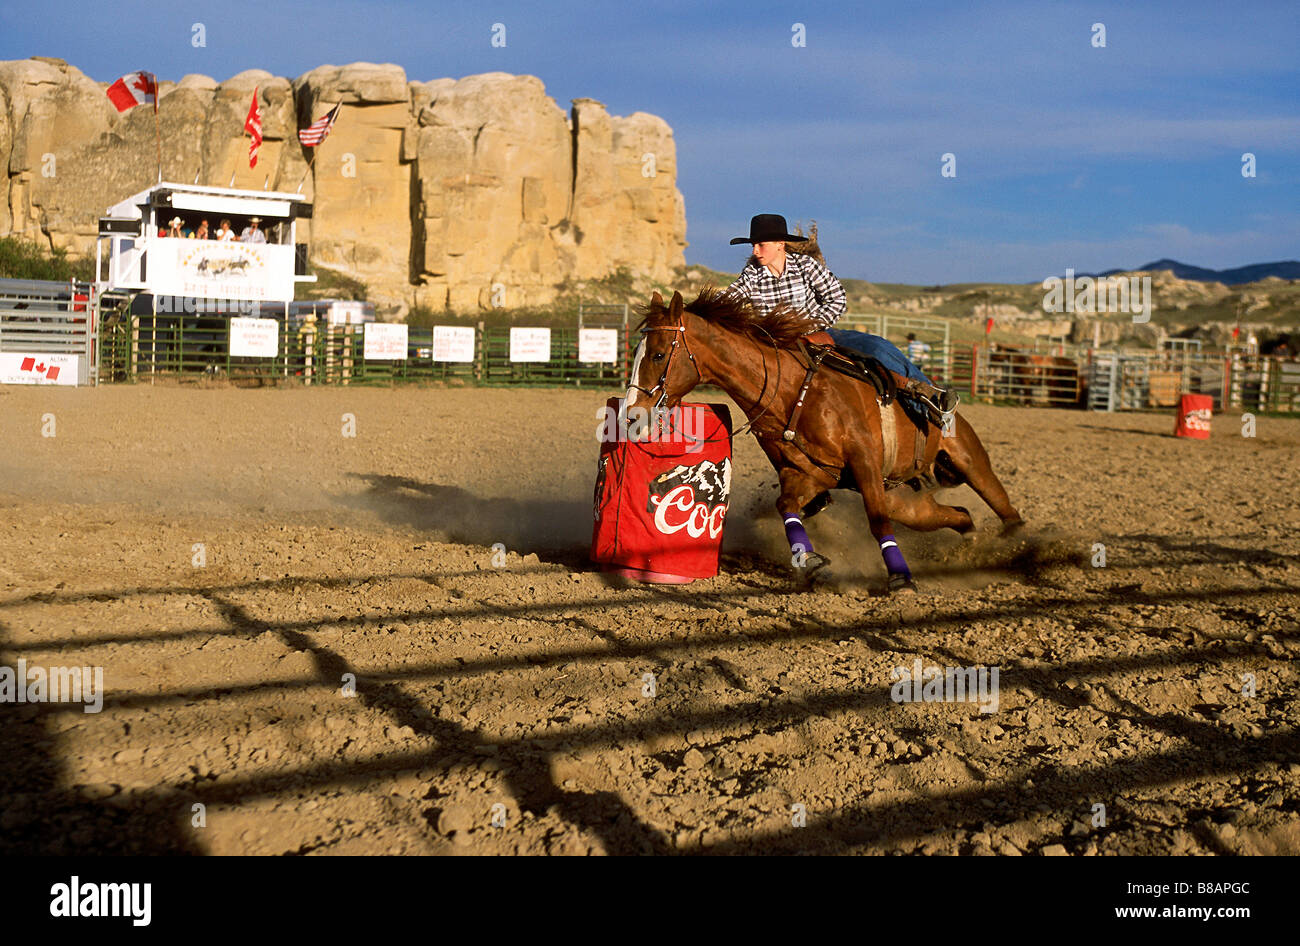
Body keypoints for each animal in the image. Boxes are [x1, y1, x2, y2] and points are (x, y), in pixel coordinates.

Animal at [624, 292, 1019, 595]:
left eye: (658, 354)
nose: (630, 415)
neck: (790, 391)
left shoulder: (863, 461)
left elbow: (877, 523)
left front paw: (901, 579)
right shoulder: (806, 474)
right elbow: (786, 507)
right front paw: (811, 561)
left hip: (969, 459)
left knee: (1001, 503)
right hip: (905, 501)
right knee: (959, 514)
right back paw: (971, 548)